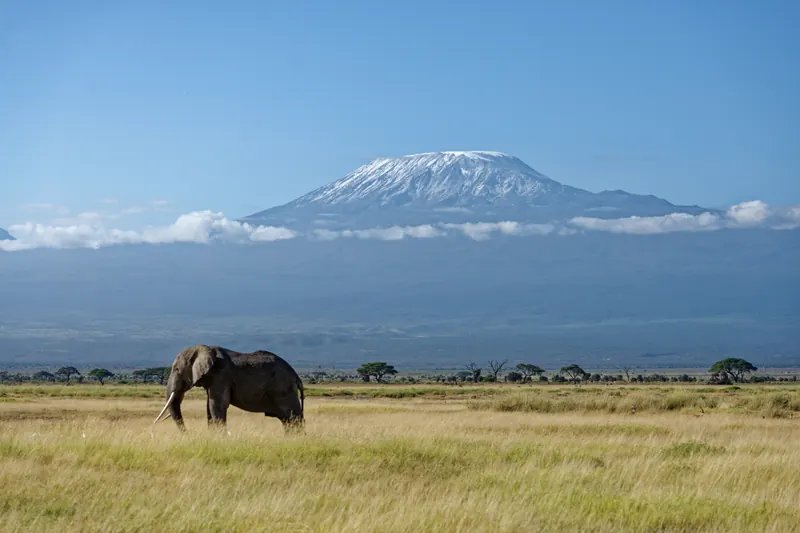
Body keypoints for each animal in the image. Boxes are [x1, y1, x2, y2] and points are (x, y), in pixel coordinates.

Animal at [152, 344, 305, 433]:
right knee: (288, 420)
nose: (188, 434)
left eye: (177, 370)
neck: (204, 348)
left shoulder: (221, 376)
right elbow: (209, 408)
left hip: (283, 388)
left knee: (293, 417)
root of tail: (296, 376)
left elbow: (216, 406)